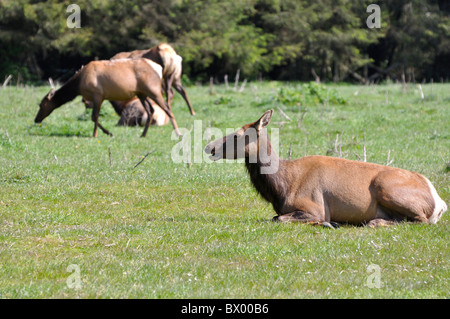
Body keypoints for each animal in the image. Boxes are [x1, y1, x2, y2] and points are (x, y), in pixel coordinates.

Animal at [34, 58, 181, 138]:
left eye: (42, 104)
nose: (36, 119)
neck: (78, 85)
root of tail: (159, 68)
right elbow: (94, 117)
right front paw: (107, 133)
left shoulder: (97, 94)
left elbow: (94, 116)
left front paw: (97, 134)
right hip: (141, 93)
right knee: (151, 110)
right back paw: (143, 134)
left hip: (153, 90)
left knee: (168, 108)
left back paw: (178, 133)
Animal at [205, 111, 446, 229]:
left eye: (237, 135)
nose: (209, 147)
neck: (282, 187)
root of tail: (439, 202)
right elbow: (275, 217)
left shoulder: (314, 208)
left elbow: (278, 219)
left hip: (388, 189)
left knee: (421, 220)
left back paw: (373, 222)